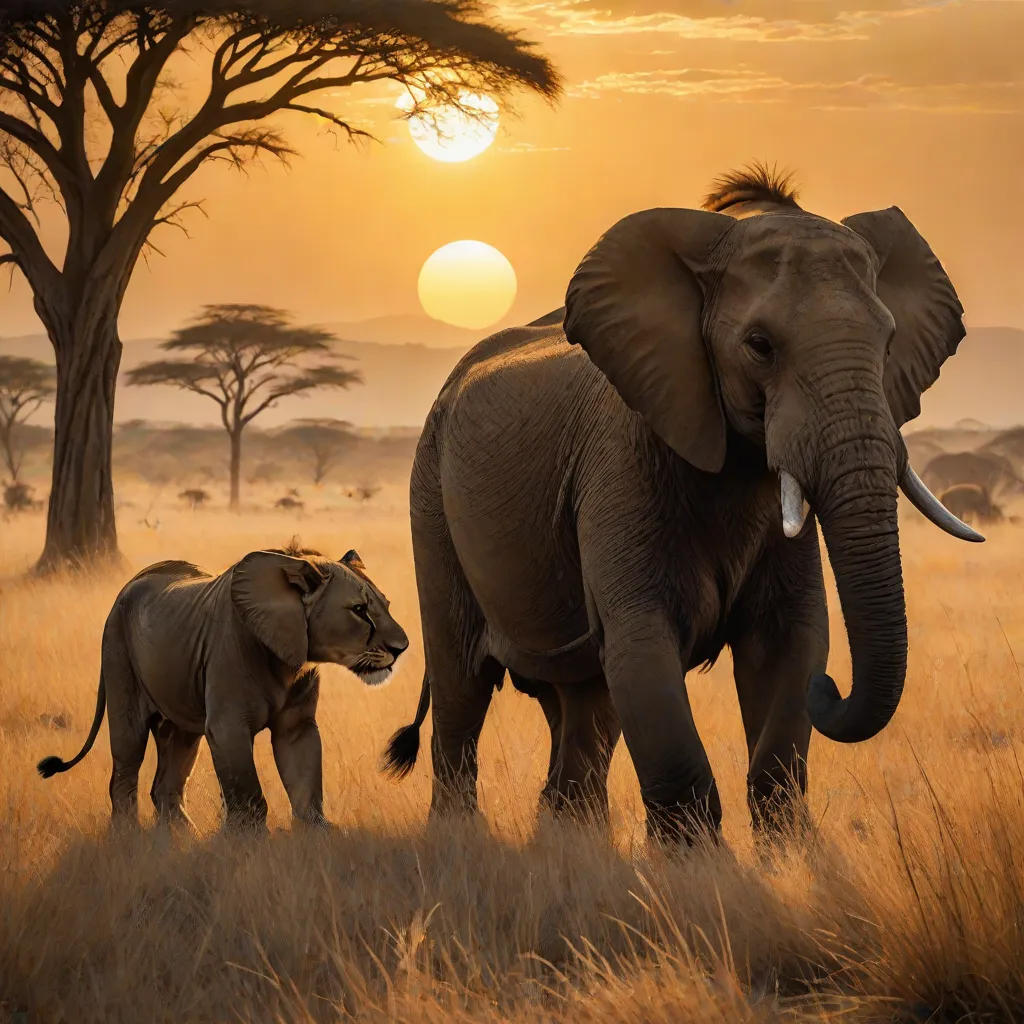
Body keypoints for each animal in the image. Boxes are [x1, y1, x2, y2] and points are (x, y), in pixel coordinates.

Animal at [38, 547, 408, 831]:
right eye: (359, 610)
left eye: (386, 605)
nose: (401, 648)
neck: (285, 661)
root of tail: (129, 584)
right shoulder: (227, 726)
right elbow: (248, 794)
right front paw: (247, 845)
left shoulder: (297, 726)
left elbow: (305, 785)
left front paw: (317, 836)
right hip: (122, 680)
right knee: (125, 770)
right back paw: (127, 837)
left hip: (182, 723)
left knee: (166, 784)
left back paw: (183, 837)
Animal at [382, 165, 981, 844]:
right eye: (759, 345)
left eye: (887, 343)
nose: (830, 691)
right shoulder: (621, 465)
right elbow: (644, 645)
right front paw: (698, 864)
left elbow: (792, 642)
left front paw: (789, 855)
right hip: (430, 494)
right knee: (462, 680)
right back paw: (462, 837)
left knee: (583, 700)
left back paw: (572, 838)